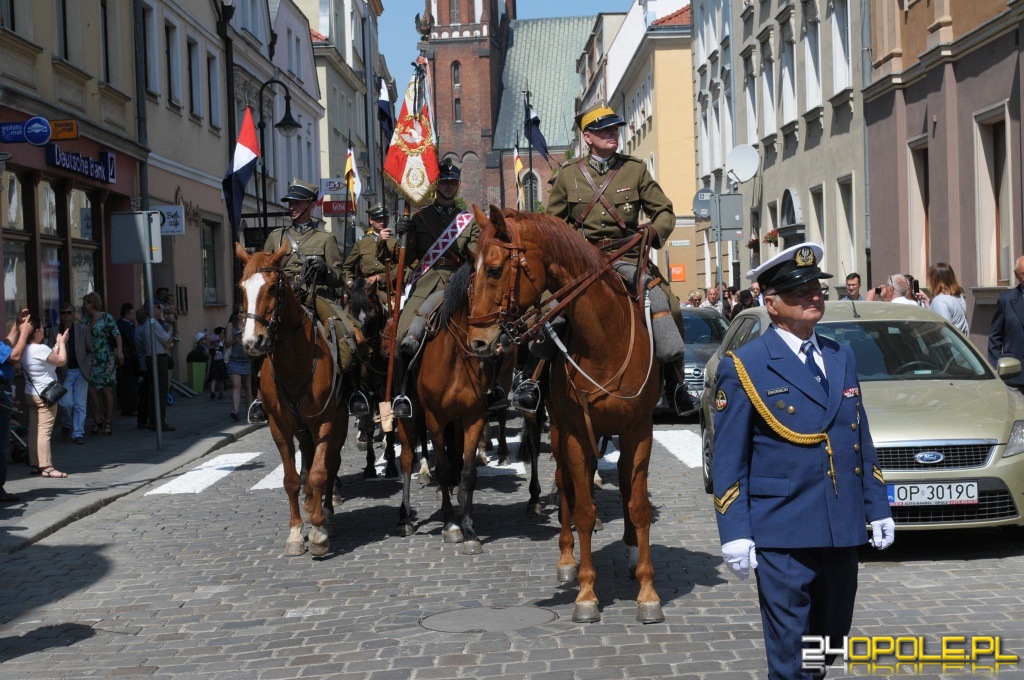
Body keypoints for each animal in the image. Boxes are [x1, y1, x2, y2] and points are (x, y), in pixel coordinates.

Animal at [234, 244, 348, 557]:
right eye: (241, 288)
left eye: (273, 287)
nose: (252, 343)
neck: (295, 362)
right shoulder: (279, 426)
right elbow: (291, 479)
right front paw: (296, 533)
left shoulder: (325, 421)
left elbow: (321, 472)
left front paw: (319, 531)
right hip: (302, 428)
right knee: (306, 461)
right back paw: (310, 505)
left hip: (339, 421)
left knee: (331, 463)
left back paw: (327, 513)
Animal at [393, 261, 544, 553]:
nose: (501, 336)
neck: (455, 358)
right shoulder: (435, 417)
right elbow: (441, 467)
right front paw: (451, 524)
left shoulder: (472, 416)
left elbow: (468, 471)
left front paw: (468, 527)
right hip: (408, 414)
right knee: (406, 458)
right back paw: (404, 518)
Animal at [466, 205, 663, 622]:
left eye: (493, 269)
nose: (479, 343)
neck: (603, 340)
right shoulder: (572, 431)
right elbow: (583, 509)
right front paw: (586, 594)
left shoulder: (639, 430)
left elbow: (637, 505)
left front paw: (647, 592)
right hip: (555, 431)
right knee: (567, 486)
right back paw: (567, 559)